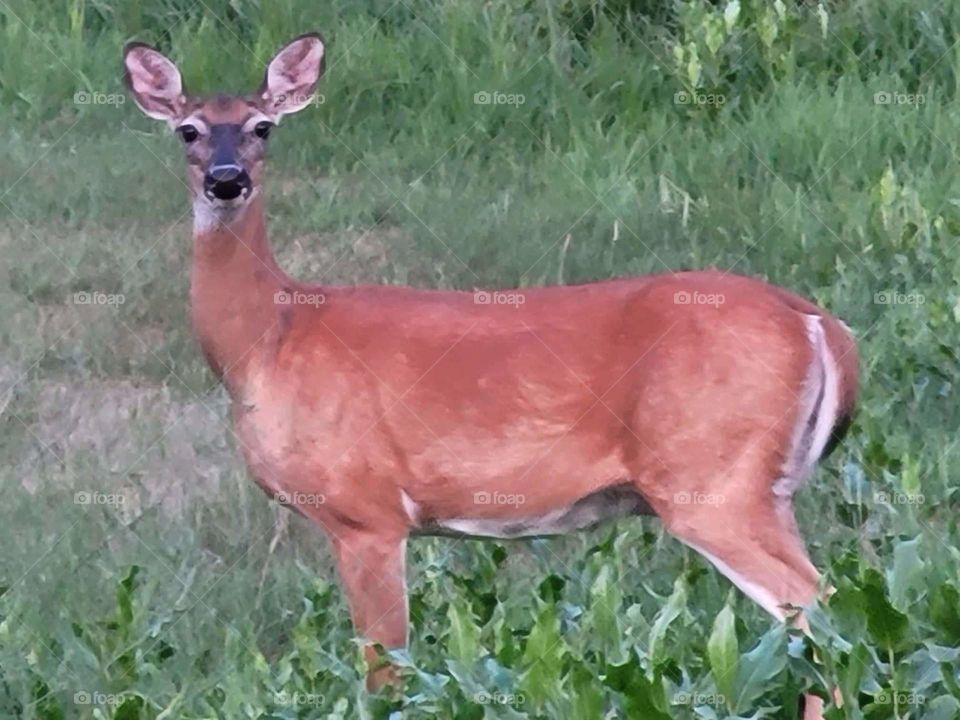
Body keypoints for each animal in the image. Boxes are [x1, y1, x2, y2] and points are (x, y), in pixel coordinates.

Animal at [123, 33, 858, 718]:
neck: (270, 340)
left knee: (822, 608)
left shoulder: (366, 512)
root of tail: (817, 322)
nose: (225, 180)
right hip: (766, 487)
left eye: (262, 126)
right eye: (188, 130)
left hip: (714, 481)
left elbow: (385, 674)